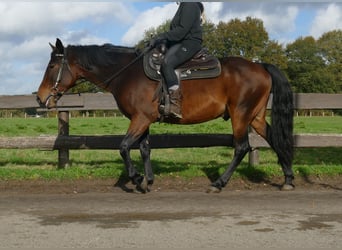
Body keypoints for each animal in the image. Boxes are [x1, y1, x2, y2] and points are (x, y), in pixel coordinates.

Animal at [36, 38, 294, 192]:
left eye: (51, 66)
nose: (40, 98)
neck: (127, 73)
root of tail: (260, 66)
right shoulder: (143, 119)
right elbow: (144, 148)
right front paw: (148, 180)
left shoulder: (140, 119)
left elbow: (123, 147)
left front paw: (136, 178)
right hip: (255, 117)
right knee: (274, 139)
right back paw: (288, 179)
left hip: (240, 115)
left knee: (242, 147)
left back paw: (219, 183)